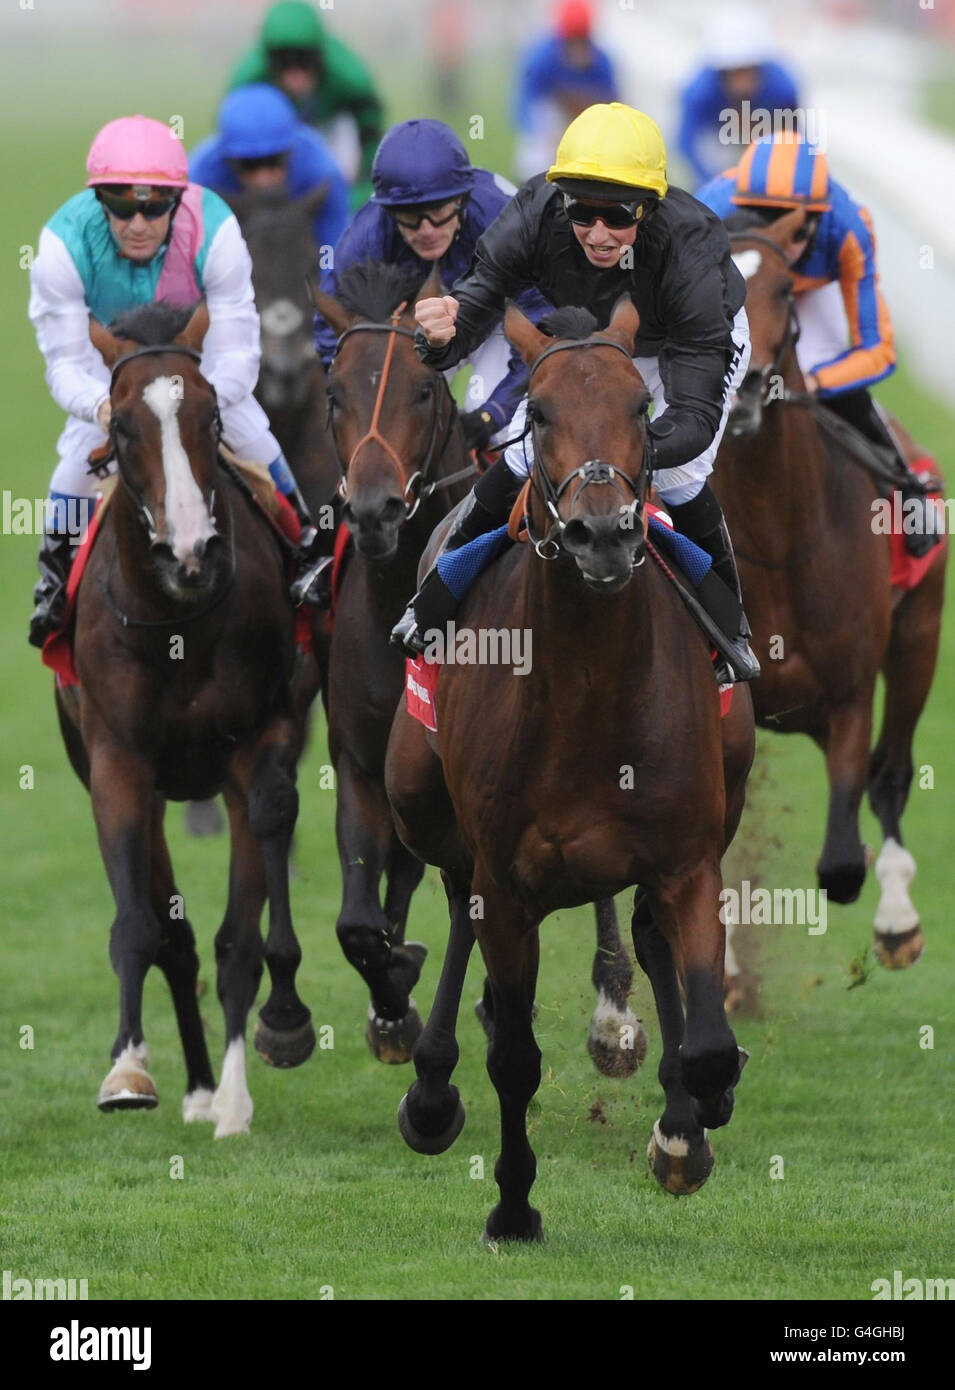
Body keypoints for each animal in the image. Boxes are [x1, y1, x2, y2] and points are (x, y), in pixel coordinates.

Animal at [56, 298, 321, 1134]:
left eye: (211, 418)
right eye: (123, 427)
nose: (188, 553)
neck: (176, 622)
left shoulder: (258, 742)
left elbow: (243, 930)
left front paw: (253, 1068)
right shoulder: (117, 763)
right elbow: (143, 926)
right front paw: (127, 1070)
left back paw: (217, 1089)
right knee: (170, 933)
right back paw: (195, 1083)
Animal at [386, 296, 756, 1239]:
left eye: (639, 406)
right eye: (540, 411)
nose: (601, 535)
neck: (591, 690)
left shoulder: (687, 859)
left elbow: (706, 1044)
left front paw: (690, 1123)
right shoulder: (507, 883)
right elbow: (514, 1057)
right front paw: (513, 1206)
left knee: (651, 940)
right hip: (419, 801)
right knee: (453, 900)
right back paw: (431, 1090)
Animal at [711, 208, 945, 967]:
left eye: (786, 289)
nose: (747, 385)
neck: (780, 537)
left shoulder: (849, 692)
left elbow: (841, 862)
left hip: (919, 641)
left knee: (890, 772)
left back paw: (897, 918)